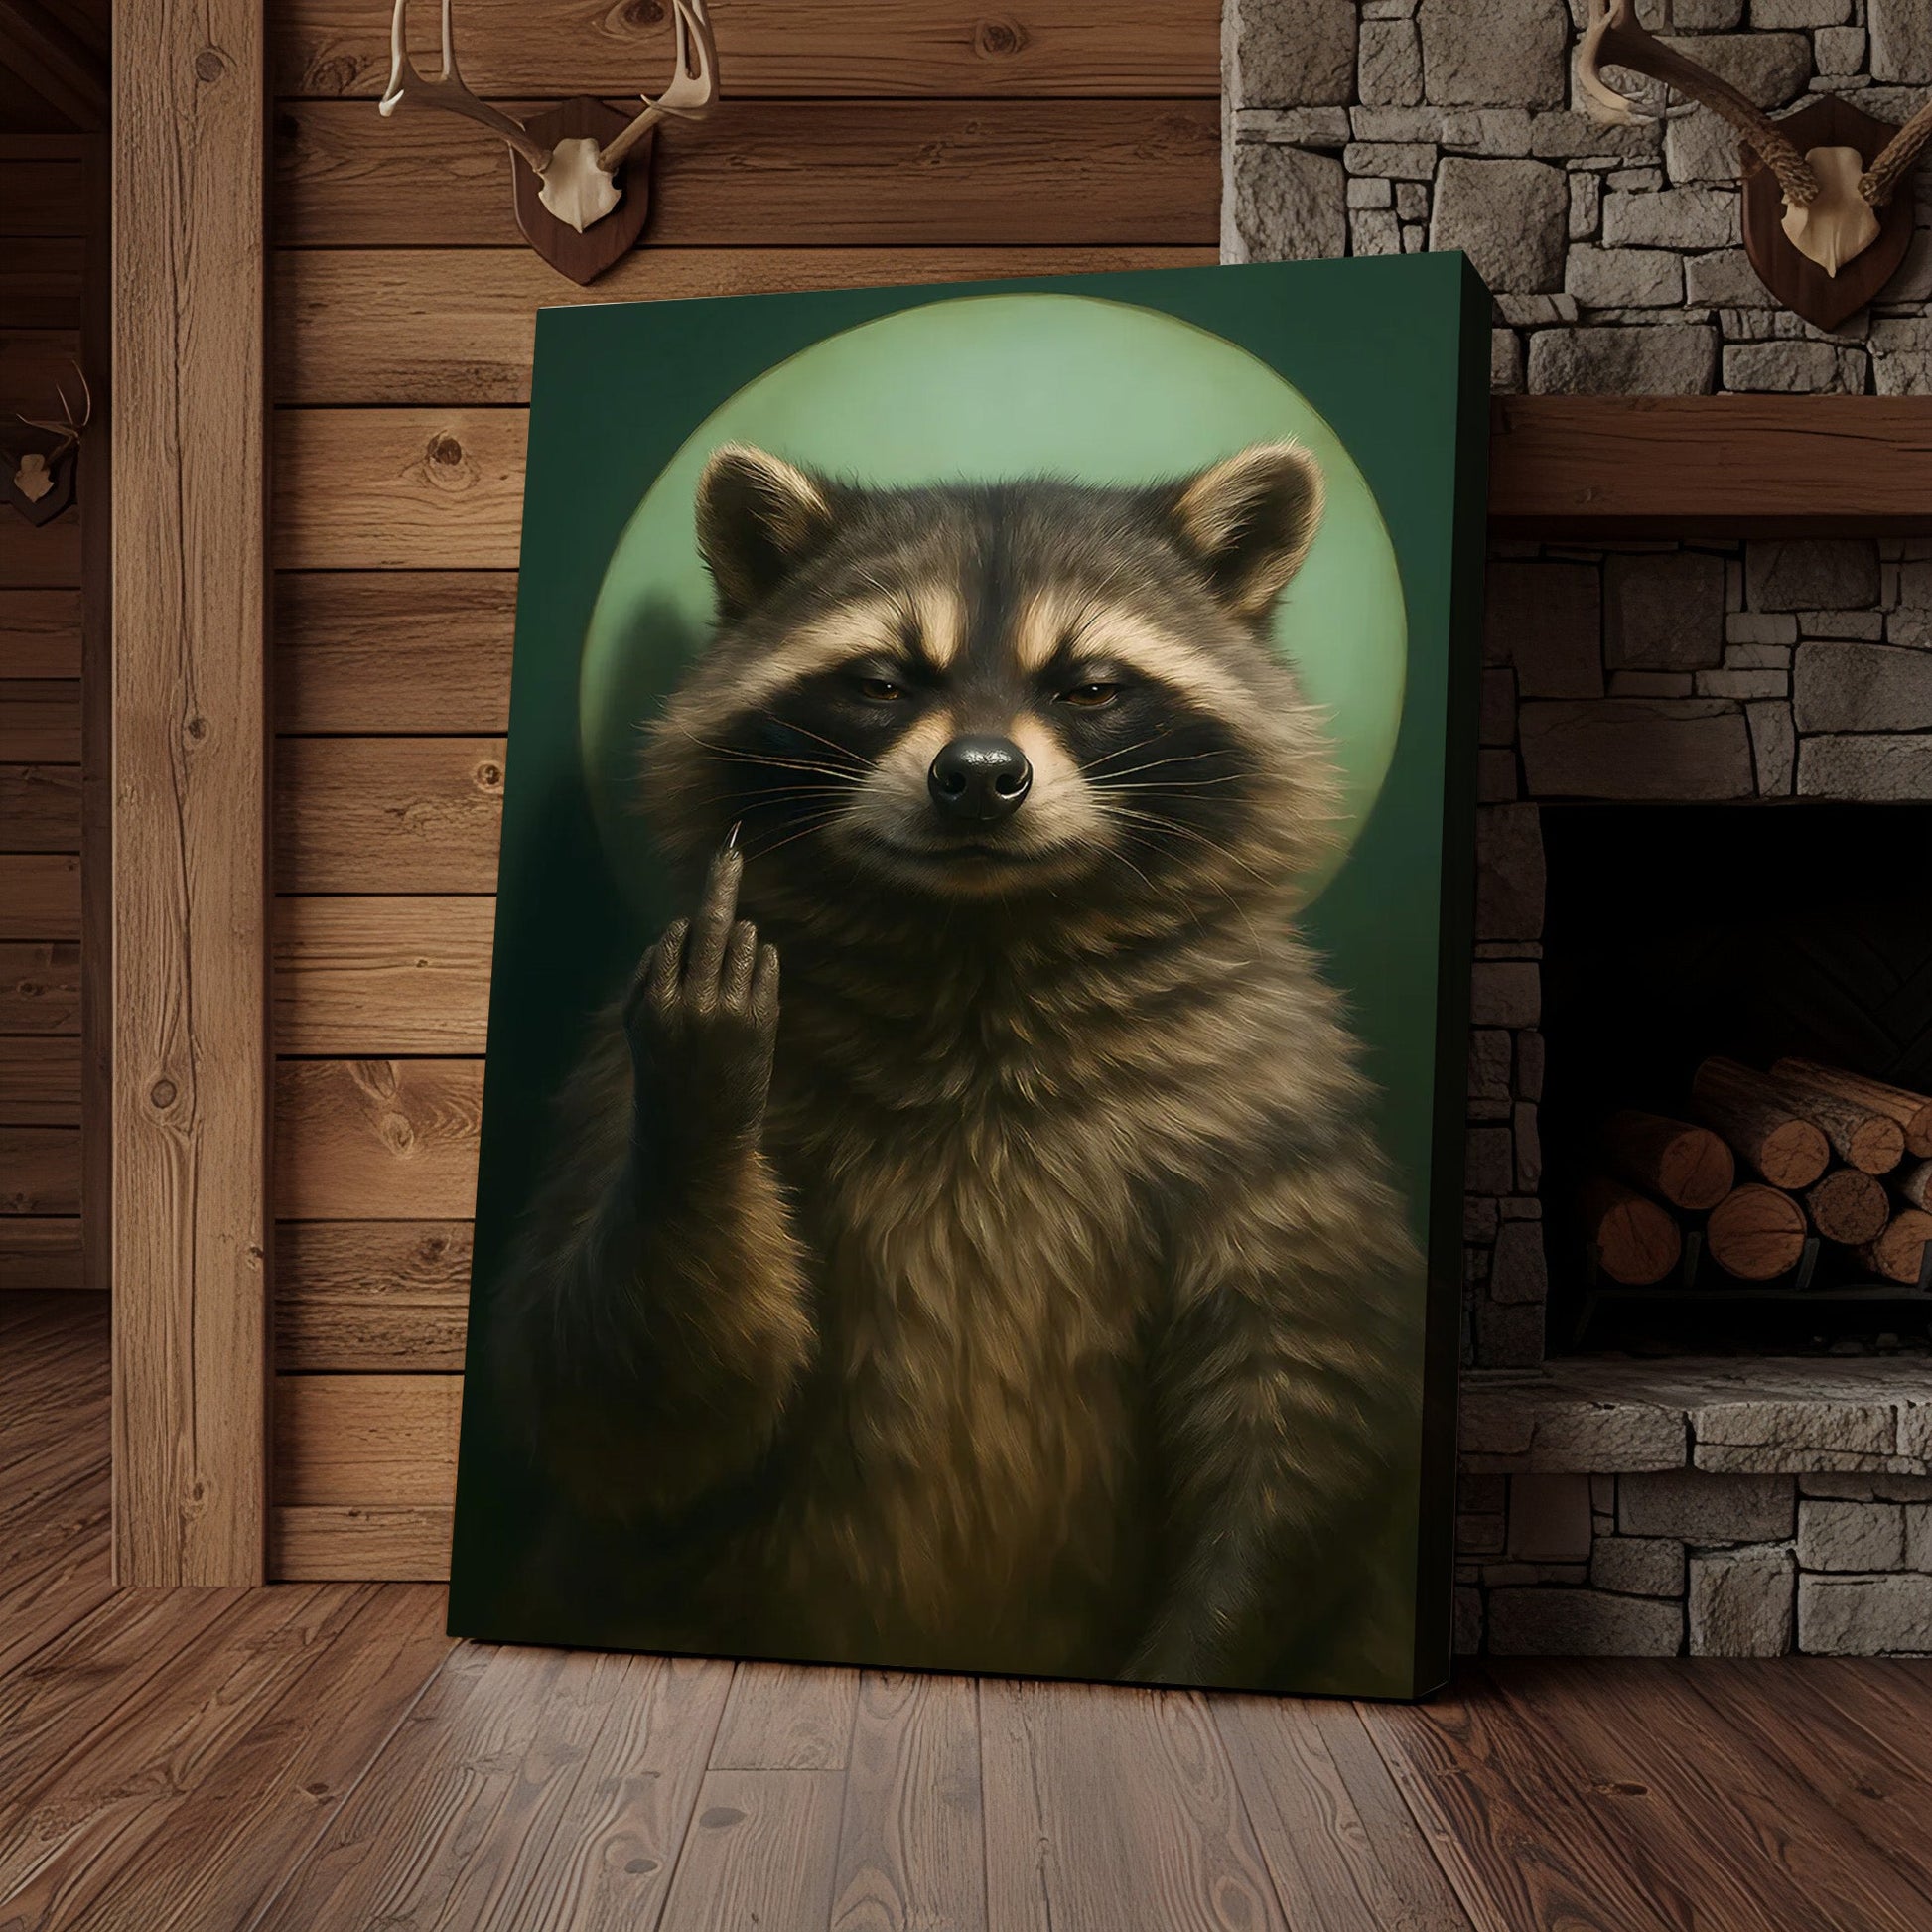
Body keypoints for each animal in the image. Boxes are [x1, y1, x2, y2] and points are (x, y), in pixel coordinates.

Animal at [490, 440, 1420, 1686]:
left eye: (1087, 686)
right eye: (884, 680)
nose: (977, 773)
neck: (982, 941)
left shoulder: (1269, 1086)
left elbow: (1305, 1406)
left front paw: (1202, 1646)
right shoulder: (609, 1088)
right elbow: (620, 1399)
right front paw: (701, 1115)